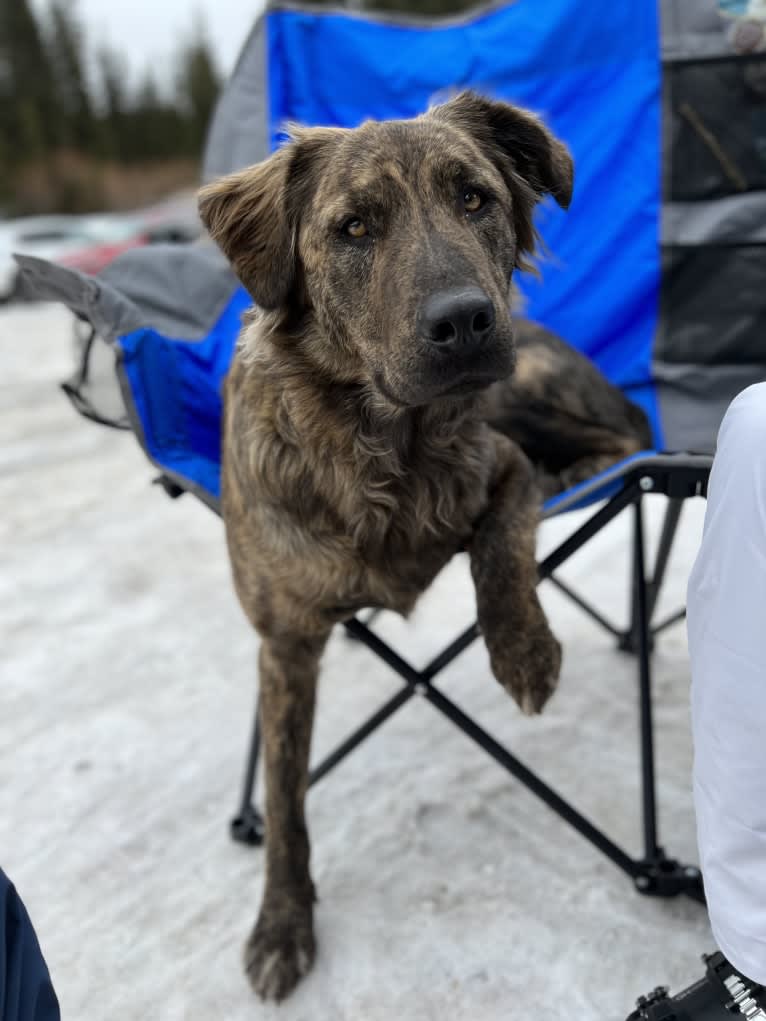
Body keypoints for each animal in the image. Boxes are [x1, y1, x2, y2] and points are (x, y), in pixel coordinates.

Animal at [196, 91, 649, 1000]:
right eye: (354, 228)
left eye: (474, 198)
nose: (466, 320)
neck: (382, 448)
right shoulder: (284, 642)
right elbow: (286, 798)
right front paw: (282, 921)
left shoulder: (503, 463)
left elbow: (501, 547)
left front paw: (525, 652)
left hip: (527, 387)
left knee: (628, 433)